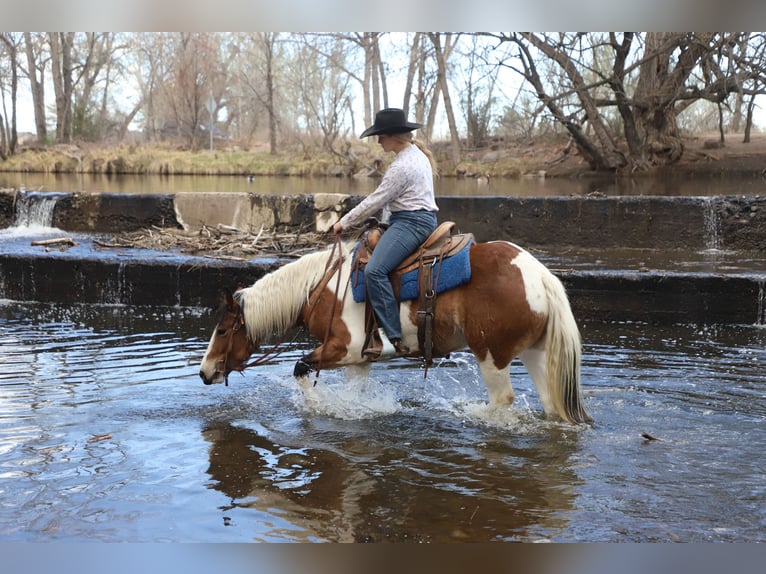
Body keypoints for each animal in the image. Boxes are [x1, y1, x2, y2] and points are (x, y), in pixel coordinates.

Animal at [198, 238, 592, 425]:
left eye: (223, 330)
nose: (204, 373)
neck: (320, 287)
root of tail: (539, 275)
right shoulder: (359, 360)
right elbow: (353, 394)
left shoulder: (344, 348)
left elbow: (299, 368)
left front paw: (315, 406)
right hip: (535, 353)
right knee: (550, 403)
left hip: (491, 354)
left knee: (502, 400)